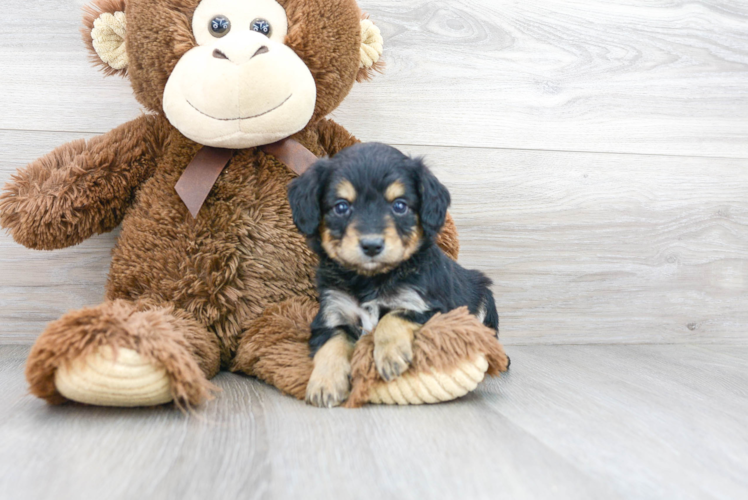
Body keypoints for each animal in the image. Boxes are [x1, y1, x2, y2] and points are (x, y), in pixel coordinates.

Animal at [290, 141, 500, 406]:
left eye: (399, 205)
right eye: (341, 207)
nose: (371, 245)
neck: (370, 279)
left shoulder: (433, 308)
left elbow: (393, 316)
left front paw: (390, 356)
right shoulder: (331, 314)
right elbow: (332, 343)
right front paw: (324, 384)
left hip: (484, 297)